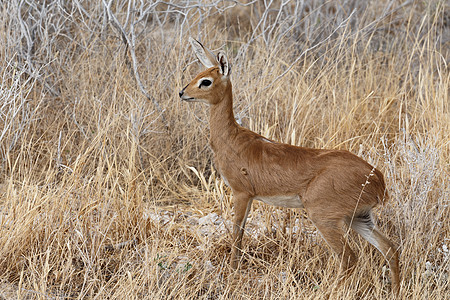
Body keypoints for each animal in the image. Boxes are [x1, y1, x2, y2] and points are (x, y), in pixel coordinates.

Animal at [179, 37, 400, 292]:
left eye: (206, 81)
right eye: (198, 73)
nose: (182, 92)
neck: (232, 138)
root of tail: (378, 180)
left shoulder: (241, 193)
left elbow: (237, 233)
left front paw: (232, 271)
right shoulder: (250, 197)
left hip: (324, 217)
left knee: (349, 258)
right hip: (360, 217)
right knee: (390, 249)